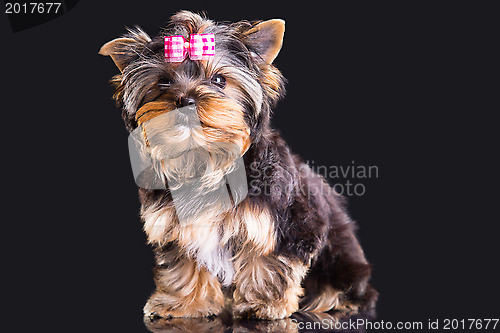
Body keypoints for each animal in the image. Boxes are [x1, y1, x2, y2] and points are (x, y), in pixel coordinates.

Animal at [99, 11, 376, 320]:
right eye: (164, 82)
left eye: (219, 79)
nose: (186, 100)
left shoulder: (281, 221)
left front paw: (263, 303)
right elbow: (184, 262)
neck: (206, 159)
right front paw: (183, 303)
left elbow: (266, 258)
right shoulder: (175, 225)